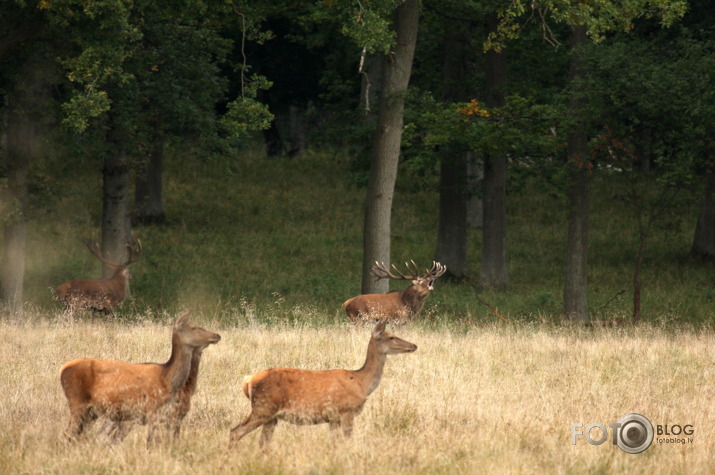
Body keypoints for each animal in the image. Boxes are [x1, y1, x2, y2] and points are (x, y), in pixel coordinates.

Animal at [60, 310, 220, 444]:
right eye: (194, 327)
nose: (216, 335)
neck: (167, 378)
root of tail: (62, 370)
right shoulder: (155, 410)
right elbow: (152, 442)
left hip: (93, 412)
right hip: (78, 402)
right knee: (70, 434)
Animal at [229, 320, 416, 450]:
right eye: (391, 337)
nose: (414, 345)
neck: (361, 382)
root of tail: (248, 380)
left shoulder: (332, 418)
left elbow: (335, 443)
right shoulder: (347, 411)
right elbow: (347, 442)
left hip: (271, 416)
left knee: (263, 443)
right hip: (263, 407)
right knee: (235, 431)